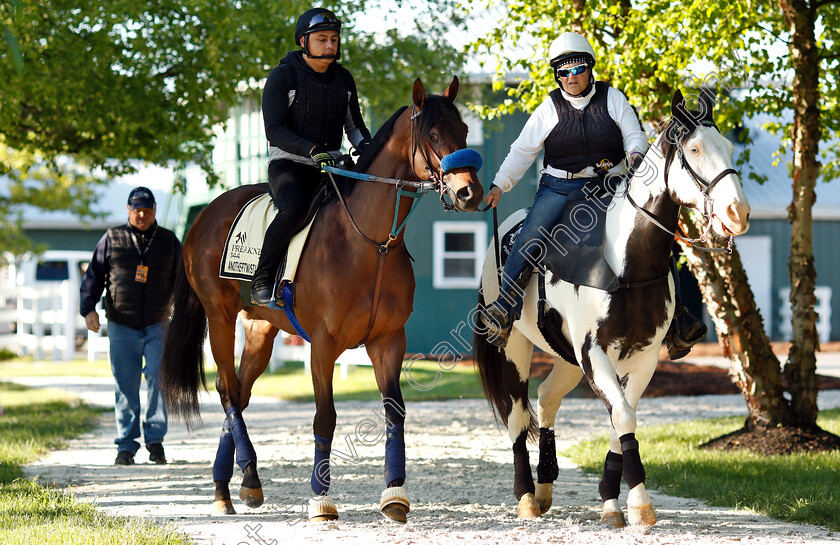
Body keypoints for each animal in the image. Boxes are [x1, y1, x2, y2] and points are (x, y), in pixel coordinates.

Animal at [160, 77, 482, 524]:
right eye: (433, 135)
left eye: (465, 130)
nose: (470, 192)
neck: (370, 243)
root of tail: (206, 214)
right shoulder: (323, 346)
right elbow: (325, 416)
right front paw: (320, 499)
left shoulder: (388, 341)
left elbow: (394, 410)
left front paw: (395, 494)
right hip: (220, 317)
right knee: (227, 391)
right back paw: (250, 478)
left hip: (260, 330)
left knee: (239, 394)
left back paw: (229, 487)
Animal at [476, 90, 752, 528]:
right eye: (694, 149)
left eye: (726, 145)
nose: (736, 213)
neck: (623, 262)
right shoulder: (595, 355)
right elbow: (622, 416)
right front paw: (638, 502)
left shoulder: (643, 357)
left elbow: (622, 418)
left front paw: (614, 501)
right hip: (515, 347)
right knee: (519, 415)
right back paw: (527, 497)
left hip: (566, 359)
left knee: (547, 399)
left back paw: (545, 486)